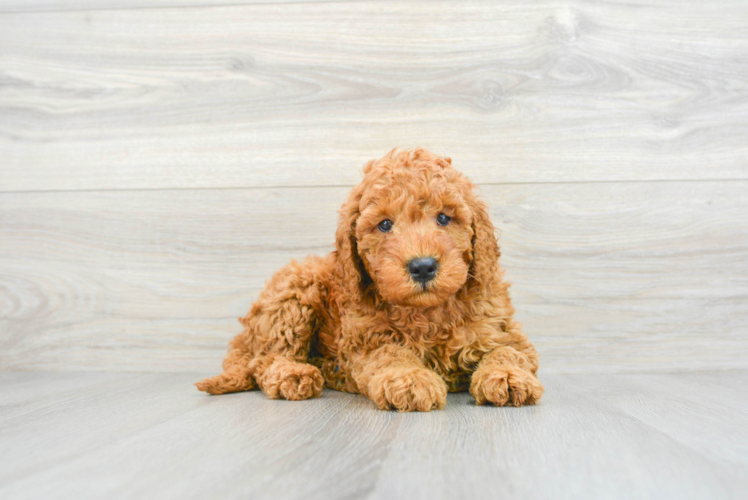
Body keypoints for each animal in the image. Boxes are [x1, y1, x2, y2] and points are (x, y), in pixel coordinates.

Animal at [194, 147, 544, 410]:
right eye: (385, 224)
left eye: (445, 218)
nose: (422, 266)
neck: (428, 313)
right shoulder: (365, 339)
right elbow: (391, 352)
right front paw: (409, 378)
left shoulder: (501, 327)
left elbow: (508, 350)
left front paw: (508, 376)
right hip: (296, 288)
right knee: (266, 359)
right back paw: (295, 374)